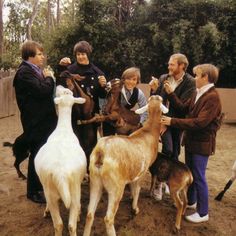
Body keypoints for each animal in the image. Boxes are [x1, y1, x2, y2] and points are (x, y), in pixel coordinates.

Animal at [34, 85, 87, 236]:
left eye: (64, 92)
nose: (58, 85)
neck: (63, 129)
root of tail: (61, 173)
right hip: (74, 190)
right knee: (70, 224)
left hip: (51, 191)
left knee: (59, 224)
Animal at [83, 95, 168, 236]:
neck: (149, 131)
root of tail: (101, 151)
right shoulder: (142, 172)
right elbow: (137, 189)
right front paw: (135, 209)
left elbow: (133, 188)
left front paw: (131, 199)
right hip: (116, 188)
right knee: (108, 218)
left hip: (95, 182)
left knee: (89, 214)